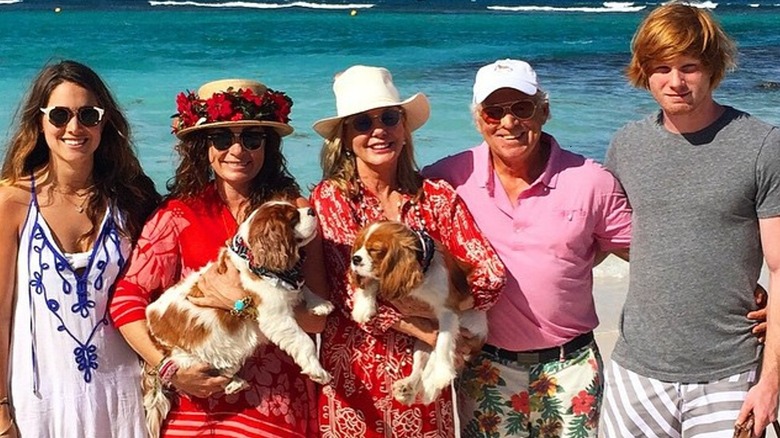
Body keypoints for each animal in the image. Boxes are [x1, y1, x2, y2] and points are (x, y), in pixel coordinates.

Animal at [145, 200, 334, 436]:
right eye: (293, 218)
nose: (310, 210)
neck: (254, 259)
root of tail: (151, 324)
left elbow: (303, 288)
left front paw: (319, 304)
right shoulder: (277, 317)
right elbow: (305, 341)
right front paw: (318, 371)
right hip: (188, 357)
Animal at [348, 221, 484, 406]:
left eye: (375, 249)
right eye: (359, 245)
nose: (355, 258)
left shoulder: (448, 309)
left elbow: (444, 341)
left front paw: (442, 373)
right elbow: (373, 283)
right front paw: (363, 307)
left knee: (437, 355)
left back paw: (432, 384)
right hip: (422, 343)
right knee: (420, 367)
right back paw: (408, 387)